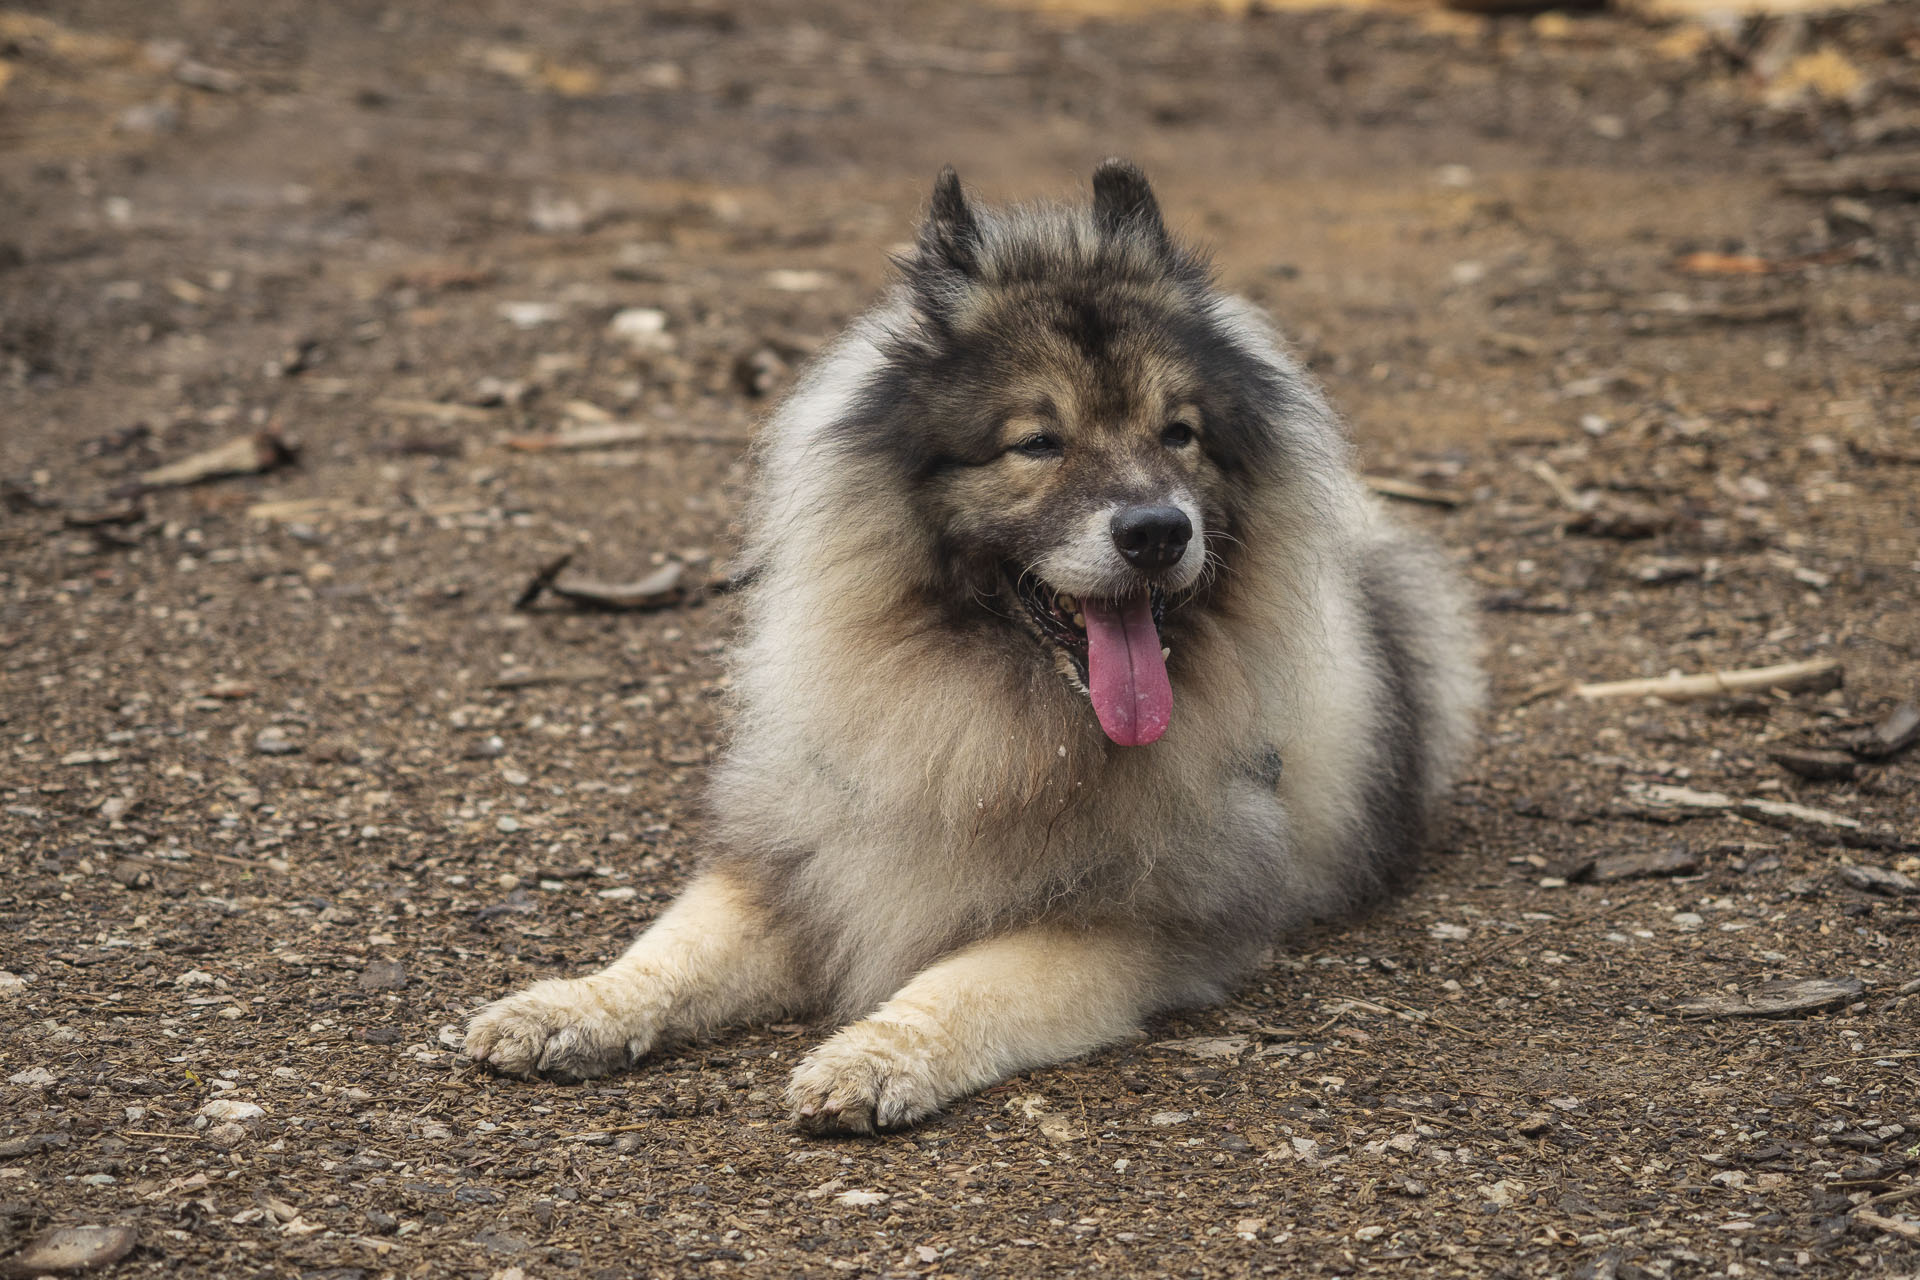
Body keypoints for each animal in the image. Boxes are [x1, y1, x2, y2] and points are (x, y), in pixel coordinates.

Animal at [468, 157, 1482, 1128]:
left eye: (1179, 434)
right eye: (1038, 443)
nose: (1158, 531)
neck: (993, 717)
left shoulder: (1130, 923)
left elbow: (966, 983)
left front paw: (873, 1058)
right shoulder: (794, 865)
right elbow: (667, 954)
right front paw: (568, 1008)